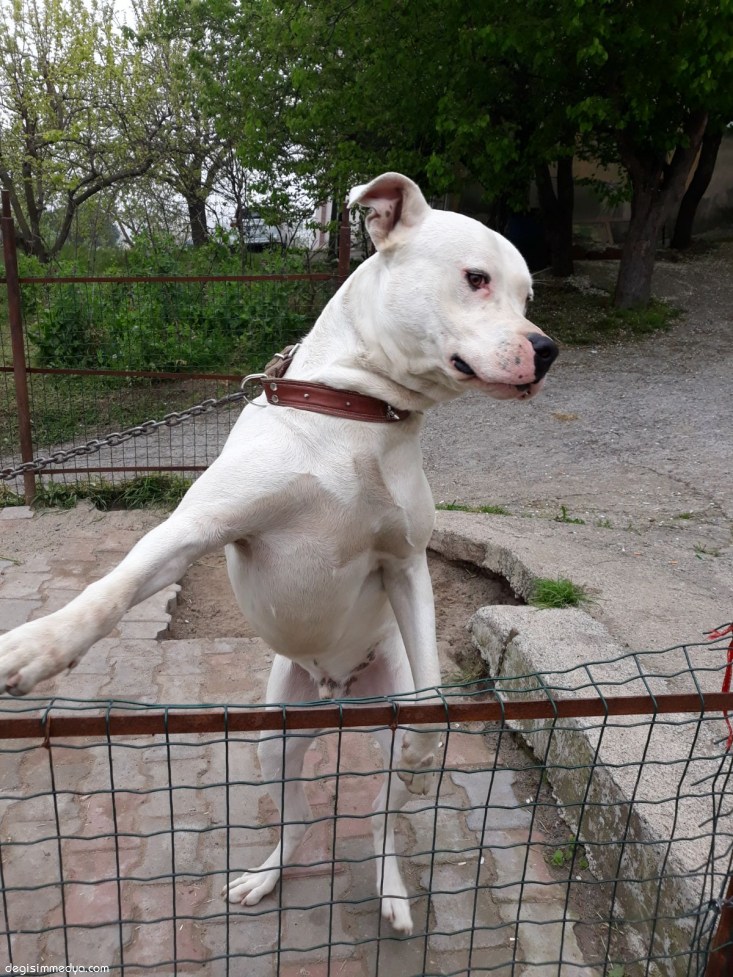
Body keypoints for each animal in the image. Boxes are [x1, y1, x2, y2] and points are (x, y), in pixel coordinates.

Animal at [0, 172, 557, 934]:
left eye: (527, 295)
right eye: (476, 278)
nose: (547, 347)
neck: (358, 416)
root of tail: (335, 696)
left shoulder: (407, 566)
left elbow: (428, 688)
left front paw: (427, 743)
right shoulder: (195, 528)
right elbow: (113, 589)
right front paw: (38, 647)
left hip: (371, 732)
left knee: (379, 820)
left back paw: (391, 890)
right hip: (272, 738)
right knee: (294, 823)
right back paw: (264, 879)